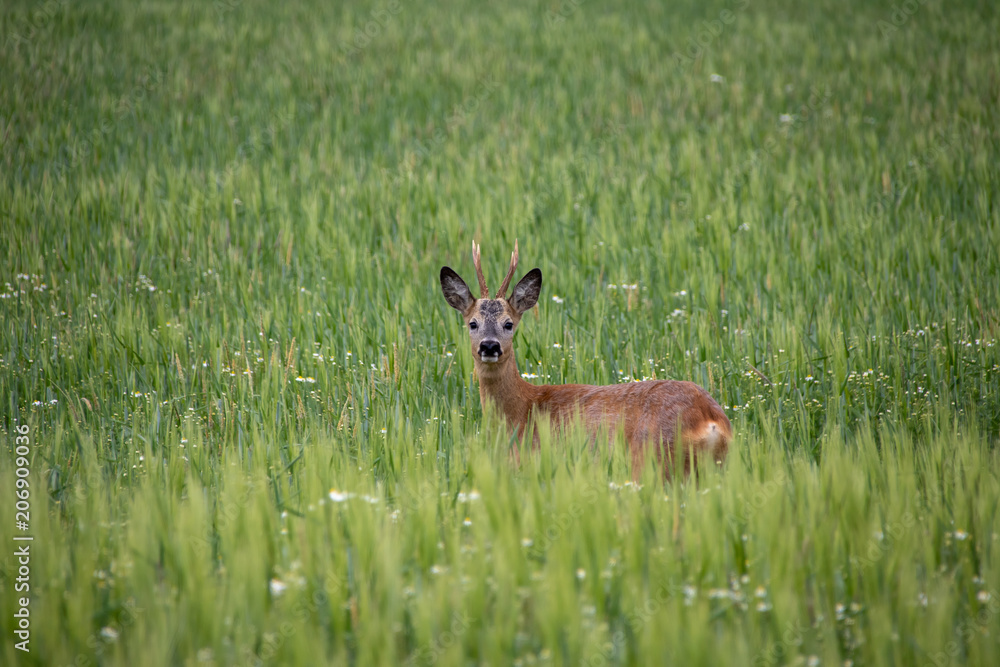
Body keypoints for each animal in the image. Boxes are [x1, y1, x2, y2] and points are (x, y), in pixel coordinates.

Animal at [439, 240, 732, 478]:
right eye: (473, 323)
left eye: (508, 324)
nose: (490, 346)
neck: (521, 411)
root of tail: (711, 420)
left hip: (652, 459)